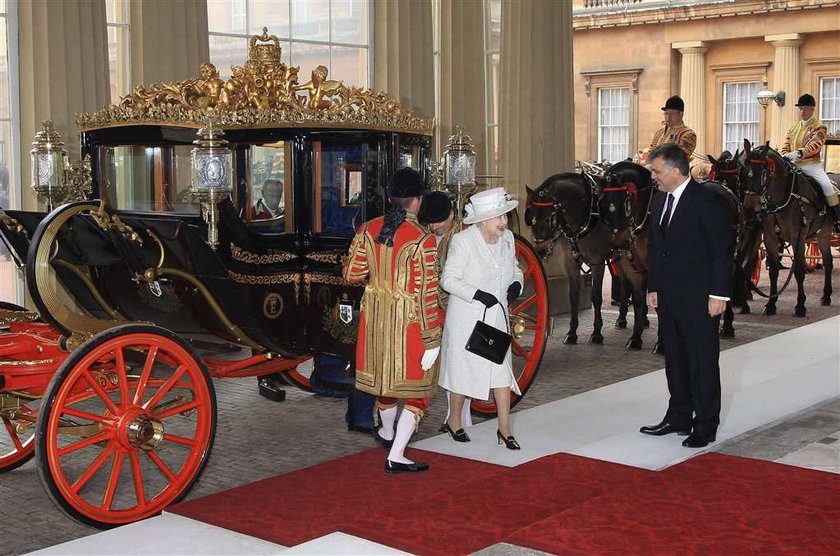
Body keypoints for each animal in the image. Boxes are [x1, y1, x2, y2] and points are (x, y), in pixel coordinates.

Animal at [740, 140, 832, 318]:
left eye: (762, 172)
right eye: (743, 170)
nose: (749, 210)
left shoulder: (798, 238)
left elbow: (799, 270)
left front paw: (800, 306)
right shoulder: (770, 237)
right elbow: (773, 271)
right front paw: (771, 304)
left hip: (824, 234)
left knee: (828, 262)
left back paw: (826, 296)